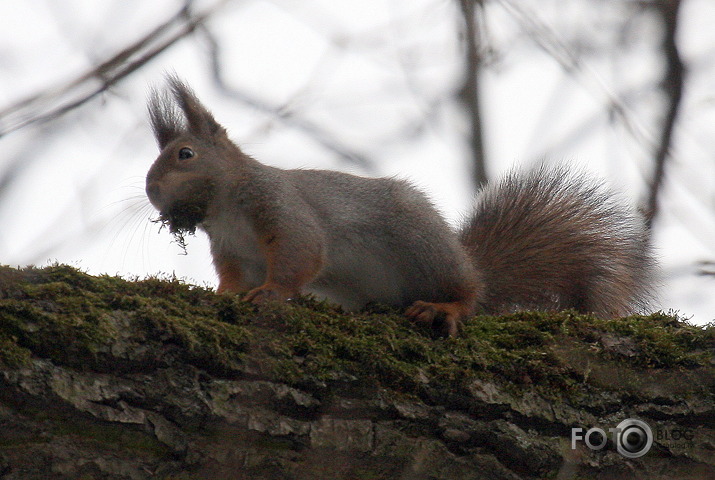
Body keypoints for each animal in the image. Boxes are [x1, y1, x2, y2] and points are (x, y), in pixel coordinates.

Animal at [147, 77, 660, 336]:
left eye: (185, 155)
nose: (151, 190)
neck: (226, 209)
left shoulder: (282, 208)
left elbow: (300, 254)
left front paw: (272, 294)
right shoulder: (234, 251)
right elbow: (235, 280)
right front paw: (223, 296)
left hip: (425, 250)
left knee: (470, 296)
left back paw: (445, 307)